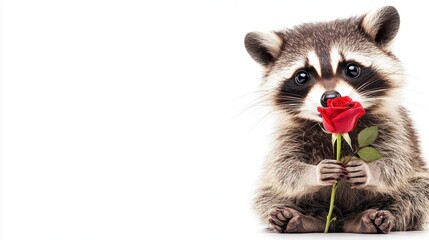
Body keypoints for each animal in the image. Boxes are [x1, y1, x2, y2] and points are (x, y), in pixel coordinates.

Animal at [242, 6, 428, 234]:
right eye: (302, 76)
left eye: (352, 69)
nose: (330, 98)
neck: (334, 131)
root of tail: (339, 221)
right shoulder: (287, 133)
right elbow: (283, 168)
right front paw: (313, 173)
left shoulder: (393, 123)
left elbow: (396, 162)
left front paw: (371, 171)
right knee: (269, 194)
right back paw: (301, 219)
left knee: (416, 193)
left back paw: (371, 219)